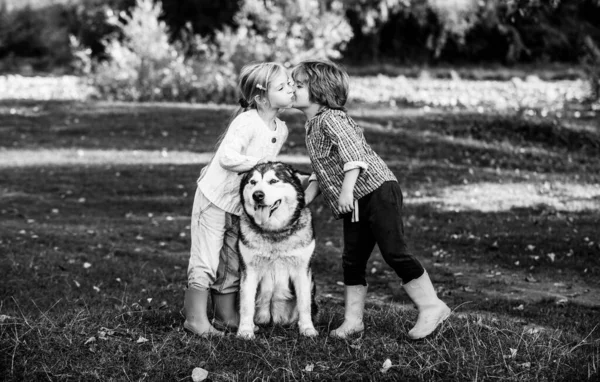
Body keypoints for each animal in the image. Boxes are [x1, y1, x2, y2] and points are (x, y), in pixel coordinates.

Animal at [237, 163, 318, 338]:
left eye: (273, 181)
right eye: (252, 182)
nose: (257, 195)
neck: (274, 232)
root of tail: (273, 321)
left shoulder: (302, 271)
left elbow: (304, 303)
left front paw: (307, 328)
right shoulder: (249, 270)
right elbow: (246, 304)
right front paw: (245, 330)